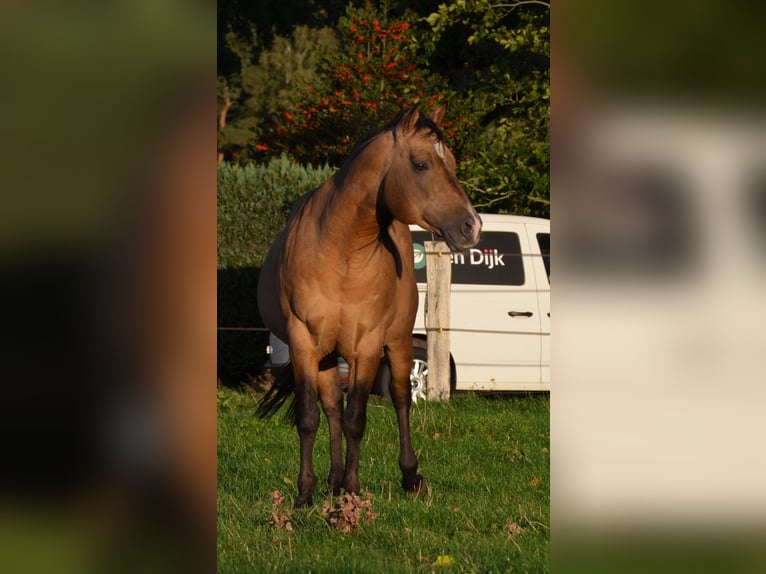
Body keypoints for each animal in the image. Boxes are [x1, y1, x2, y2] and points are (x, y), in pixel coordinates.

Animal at [256, 104, 481, 508]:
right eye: (421, 164)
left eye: (453, 164)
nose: (472, 226)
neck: (342, 254)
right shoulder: (303, 343)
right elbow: (311, 418)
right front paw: (306, 495)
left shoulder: (368, 346)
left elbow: (357, 419)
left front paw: (352, 491)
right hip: (328, 355)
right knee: (332, 406)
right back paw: (331, 482)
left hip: (399, 342)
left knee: (401, 398)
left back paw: (409, 477)